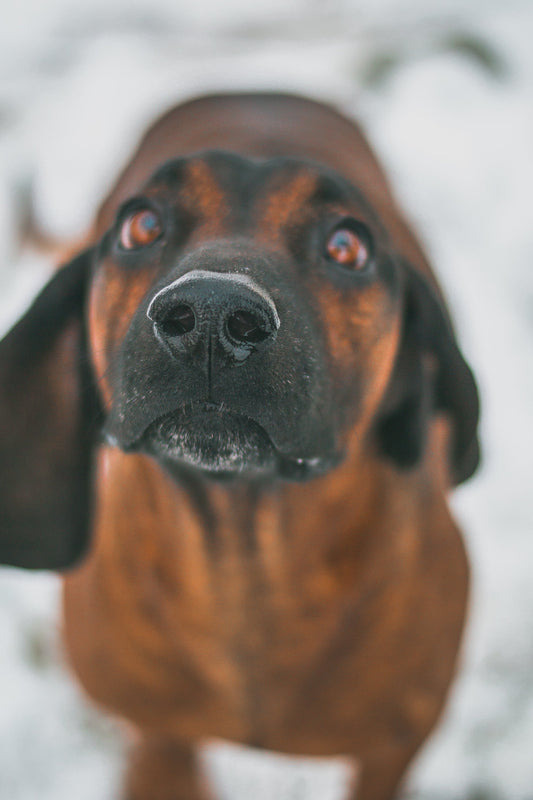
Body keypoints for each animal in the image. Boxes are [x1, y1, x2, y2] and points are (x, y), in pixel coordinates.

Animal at [0, 90, 478, 796]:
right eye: (141, 226)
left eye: (347, 246)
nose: (210, 317)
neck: (244, 572)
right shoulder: (159, 738)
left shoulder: (392, 748)